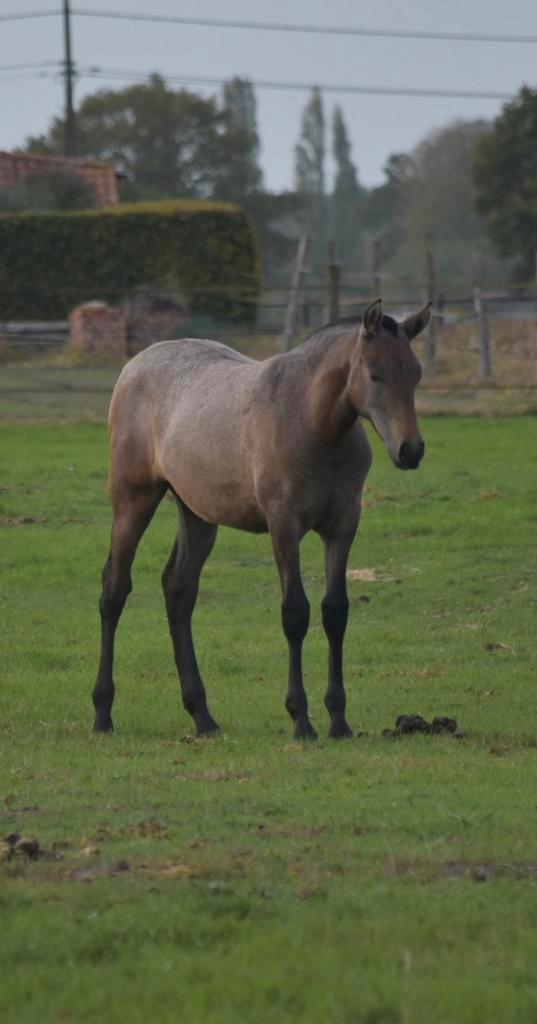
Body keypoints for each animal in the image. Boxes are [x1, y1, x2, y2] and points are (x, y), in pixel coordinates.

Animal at [93, 298, 430, 741]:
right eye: (375, 374)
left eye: (416, 373)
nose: (410, 451)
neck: (313, 423)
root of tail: (136, 363)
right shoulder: (283, 525)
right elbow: (295, 613)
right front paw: (301, 719)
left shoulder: (342, 527)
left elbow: (335, 612)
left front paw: (339, 720)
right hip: (134, 499)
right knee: (115, 589)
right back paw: (103, 713)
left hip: (197, 513)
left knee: (179, 591)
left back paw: (203, 716)